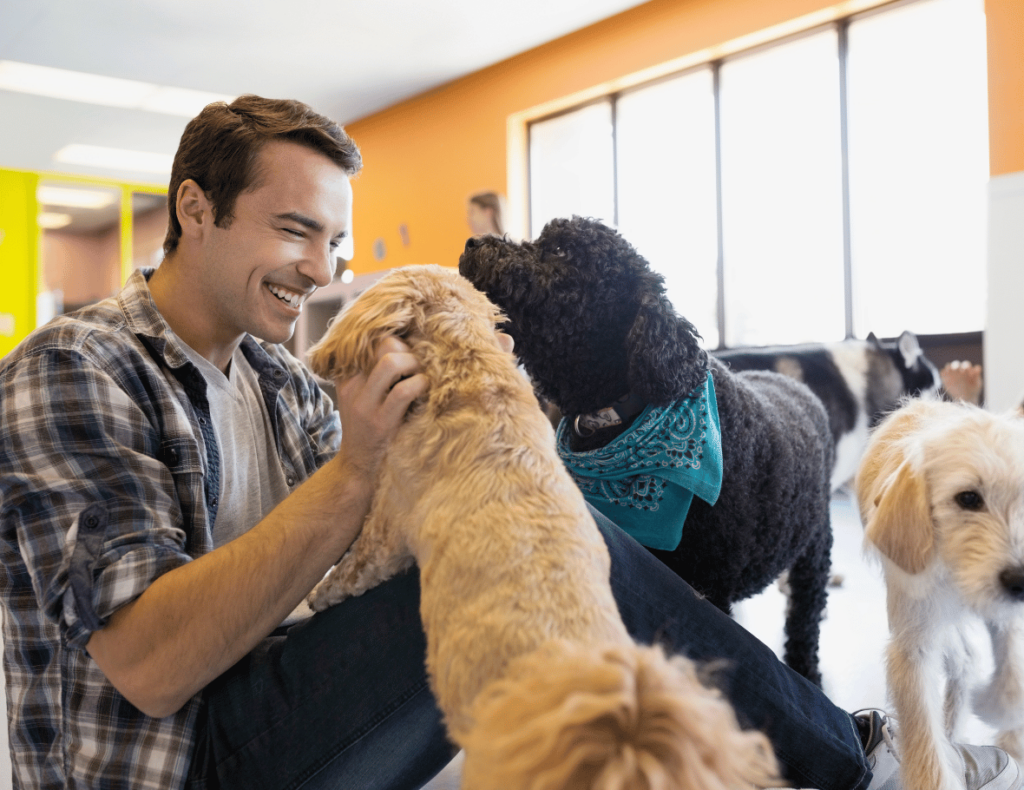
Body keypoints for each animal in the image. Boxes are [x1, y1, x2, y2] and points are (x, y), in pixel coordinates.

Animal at [856, 399, 1024, 790]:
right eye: (968, 498)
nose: (1022, 580)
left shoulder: (1007, 615)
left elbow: (1011, 676)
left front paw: (1004, 715)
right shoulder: (913, 646)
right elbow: (923, 739)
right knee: (963, 659)